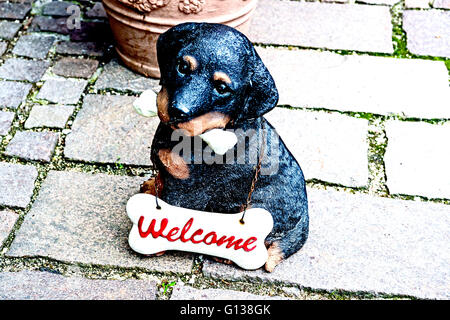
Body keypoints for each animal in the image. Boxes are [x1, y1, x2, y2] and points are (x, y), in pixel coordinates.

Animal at [142, 23, 310, 272]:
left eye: (221, 88)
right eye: (182, 67)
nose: (177, 111)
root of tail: (304, 221)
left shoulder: (189, 190)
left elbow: (168, 211)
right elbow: (160, 184)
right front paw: (152, 185)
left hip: (255, 208)